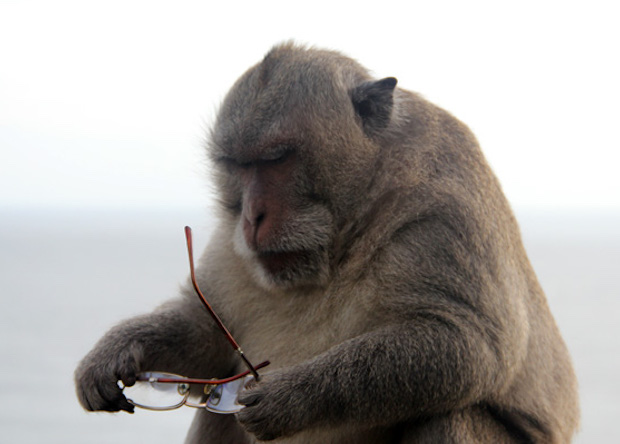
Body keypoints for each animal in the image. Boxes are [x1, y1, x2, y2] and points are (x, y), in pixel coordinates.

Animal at [75, 42, 580, 444]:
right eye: (238, 165)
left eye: (276, 160)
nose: (252, 216)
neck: (345, 235)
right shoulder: (233, 247)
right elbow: (208, 341)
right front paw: (117, 350)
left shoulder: (442, 221)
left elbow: (466, 343)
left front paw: (293, 397)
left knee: (450, 415)